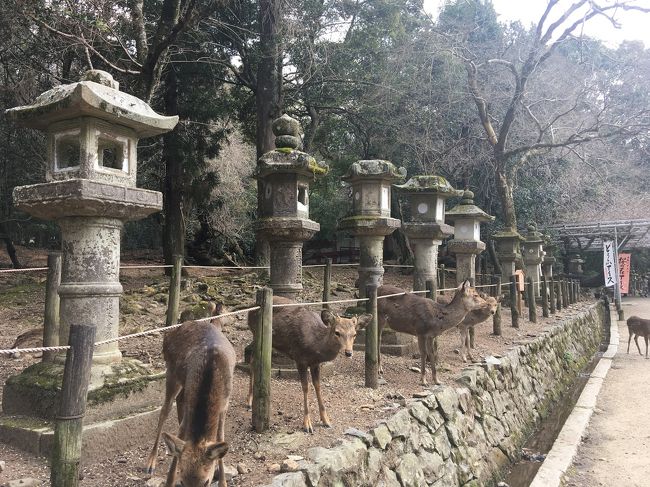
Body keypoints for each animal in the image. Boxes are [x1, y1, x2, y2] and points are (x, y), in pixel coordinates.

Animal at [145, 304, 235, 486]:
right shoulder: (190, 404)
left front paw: (223, 481)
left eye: (206, 482)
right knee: (164, 411)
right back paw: (151, 463)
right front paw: (169, 480)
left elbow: (220, 436)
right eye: (182, 482)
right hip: (171, 373)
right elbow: (179, 437)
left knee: (178, 402)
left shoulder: (225, 405)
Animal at [247, 298, 370, 434]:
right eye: (337, 332)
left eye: (354, 334)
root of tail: (249, 310)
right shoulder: (300, 358)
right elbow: (305, 387)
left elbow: (318, 386)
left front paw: (326, 420)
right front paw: (307, 424)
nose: (348, 352)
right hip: (255, 333)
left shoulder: (315, 363)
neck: (315, 346)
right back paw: (249, 401)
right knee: (252, 360)